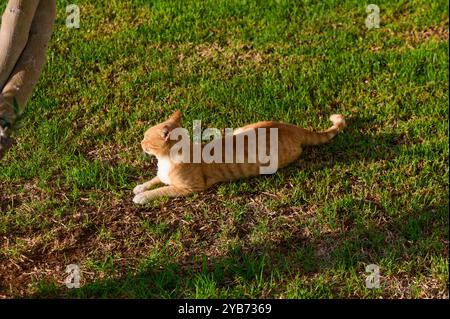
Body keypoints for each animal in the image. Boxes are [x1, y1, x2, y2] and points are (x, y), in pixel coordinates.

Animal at [133, 110, 344, 205]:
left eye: (145, 138)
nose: (140, 142)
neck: (165, 160)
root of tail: (291, 127)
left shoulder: (190, 188)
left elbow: (161, 190)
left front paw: (142, 197)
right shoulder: (162, 174)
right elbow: (154, 179)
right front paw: (140, 187)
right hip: (241, 129)